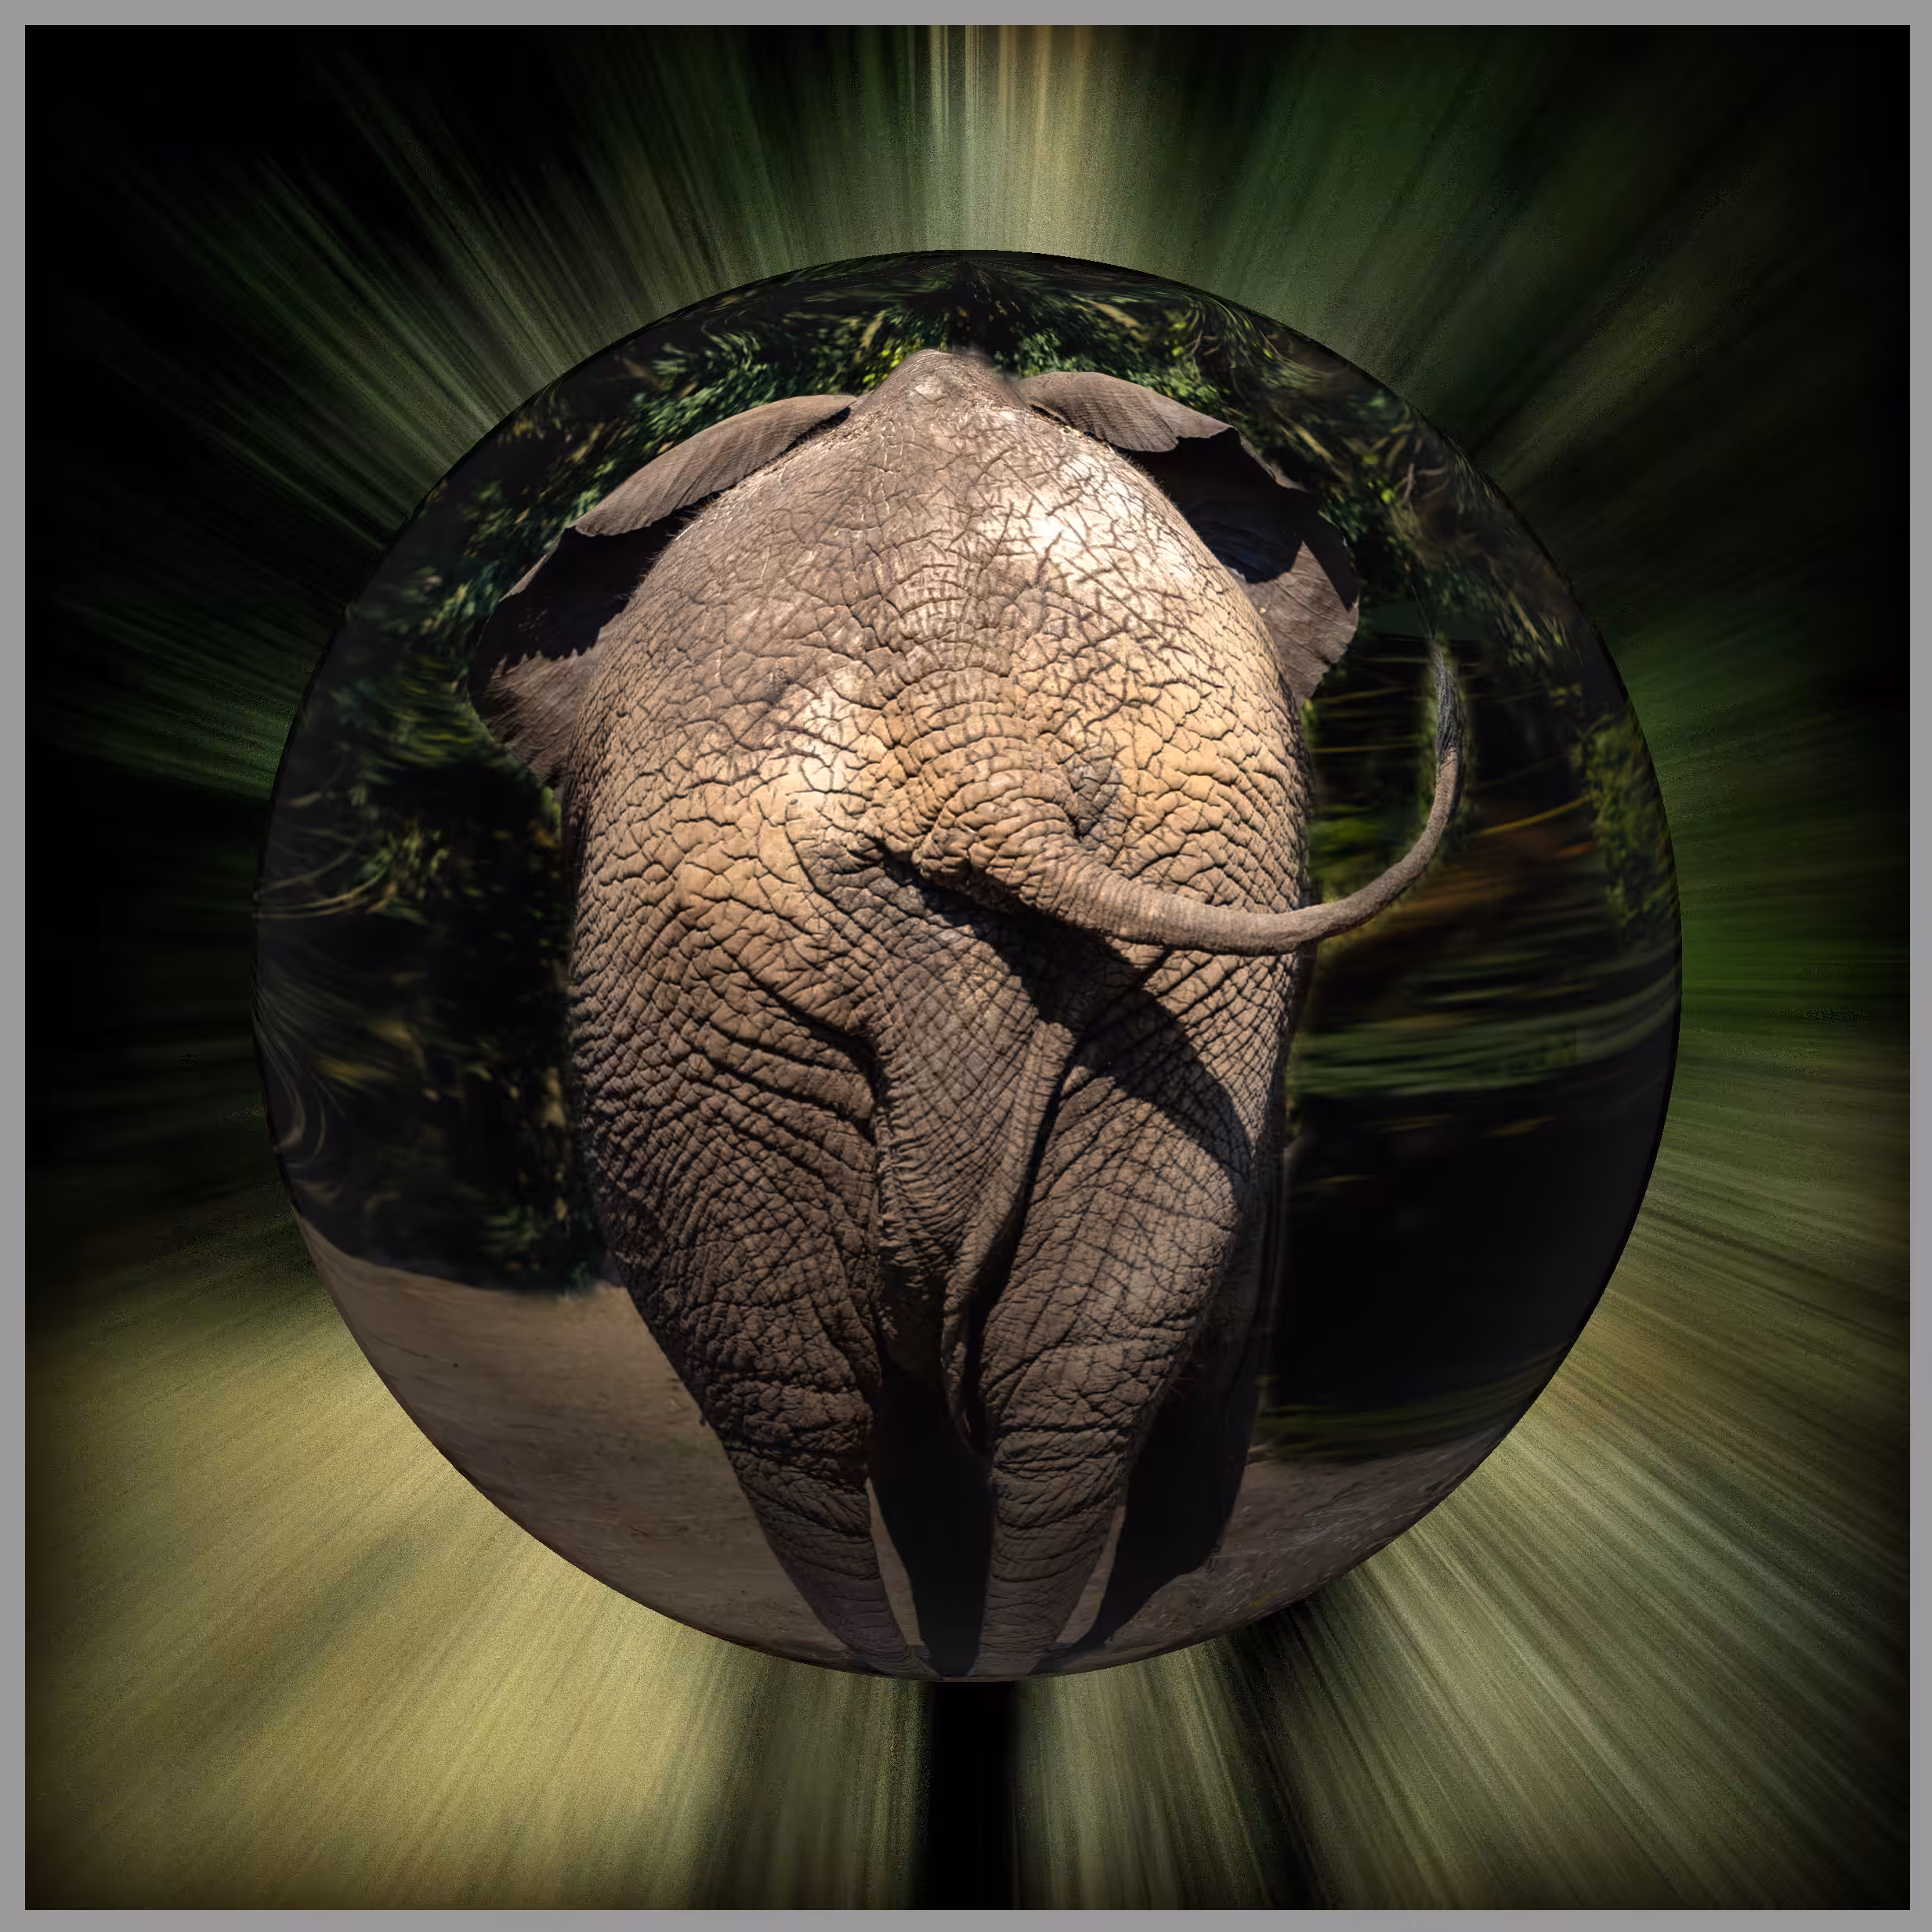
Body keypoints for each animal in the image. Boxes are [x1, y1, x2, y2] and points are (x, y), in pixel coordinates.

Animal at [470, 346, 1461, 1678]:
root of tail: (979, 758)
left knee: (836, 1400)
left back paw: (954, 1654)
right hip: (713, 966)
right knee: (929, 1389)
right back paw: (988, 1654)